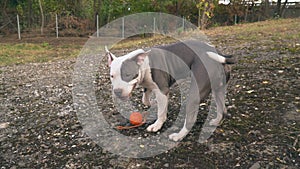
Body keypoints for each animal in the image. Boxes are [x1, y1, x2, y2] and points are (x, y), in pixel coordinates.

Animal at [105, 40, 234, 142]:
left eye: (128, 75)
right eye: (112, 76)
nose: (117, 91)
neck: (143, 63)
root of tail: (219, 54)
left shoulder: (162, 90)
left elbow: (161, 112)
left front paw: (157, 125)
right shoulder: (149, 86)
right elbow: (145, 99)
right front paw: (153, 103)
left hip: (195, 93)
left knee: (191, 119)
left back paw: (178, 136)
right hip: (218, 90)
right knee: (222, 109)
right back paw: (216, 121)